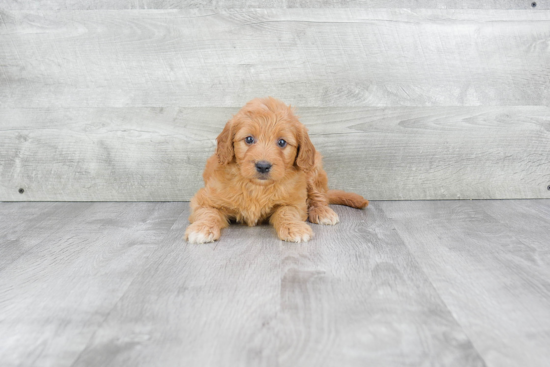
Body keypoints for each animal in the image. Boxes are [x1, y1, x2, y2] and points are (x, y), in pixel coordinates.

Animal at [185, 97, 370, 244]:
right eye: (249, 139)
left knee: (320, 196)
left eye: (282, 142)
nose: (263, 166)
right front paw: (201, 228)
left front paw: (294, 228)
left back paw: (322, 211)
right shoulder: (204, 199)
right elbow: (208, 212)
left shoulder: (295, 202)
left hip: (313, 170)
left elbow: (287, 212)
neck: (257, 187)